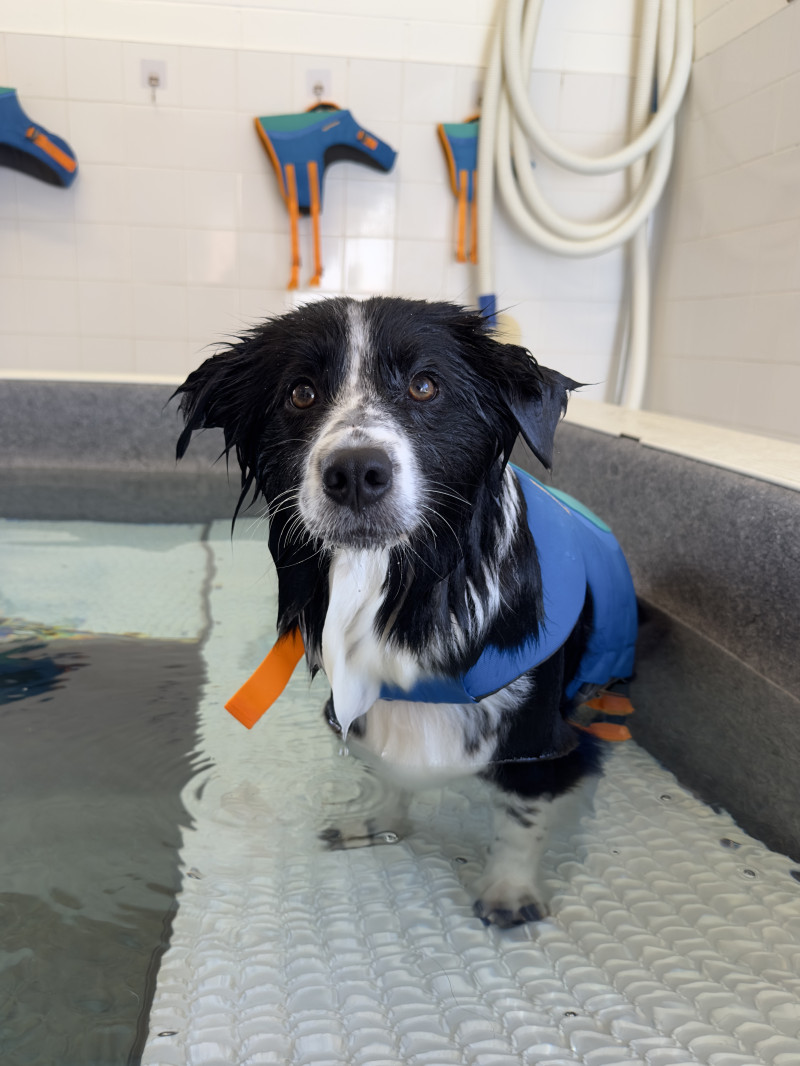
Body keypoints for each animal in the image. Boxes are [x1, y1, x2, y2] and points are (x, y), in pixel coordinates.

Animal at [174, 296, 640, 929]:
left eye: (425, 385)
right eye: (300, 393)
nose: (354, 473)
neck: (402, 589)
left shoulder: (538, 736)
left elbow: (520, 817)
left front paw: (509, 891)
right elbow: (388, 773)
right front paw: (379, 823)